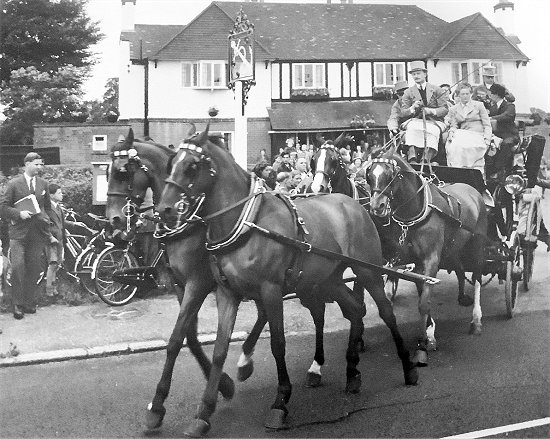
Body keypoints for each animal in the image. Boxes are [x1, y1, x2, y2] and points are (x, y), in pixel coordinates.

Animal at [155, 124, 418, 436]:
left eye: (192, 166)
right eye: (172, 163)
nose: (164, 209)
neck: (245, 223)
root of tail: (355, 204)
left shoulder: (269, 289)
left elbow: (278, 343)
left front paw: (280, 401)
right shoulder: (225, 292)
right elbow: (218, 348)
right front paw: (204, 411)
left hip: (368, 271)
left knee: (385, 311)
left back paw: (408, 366)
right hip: (328, 279)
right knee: (355, 309)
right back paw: (352, 372)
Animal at [366, 146, 492, 366]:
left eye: (391, 175)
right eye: (370, 175)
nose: (376, 207)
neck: (416, 212)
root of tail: (473, 190)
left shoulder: (431, 260)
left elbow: (424, 303)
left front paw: (423, 344)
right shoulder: (417, 264)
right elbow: (423, 293)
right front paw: (430, 333)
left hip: (477, 244)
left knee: (476, 276)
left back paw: (476, 320)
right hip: (454, 248)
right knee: (460, 268)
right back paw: (462, 296)